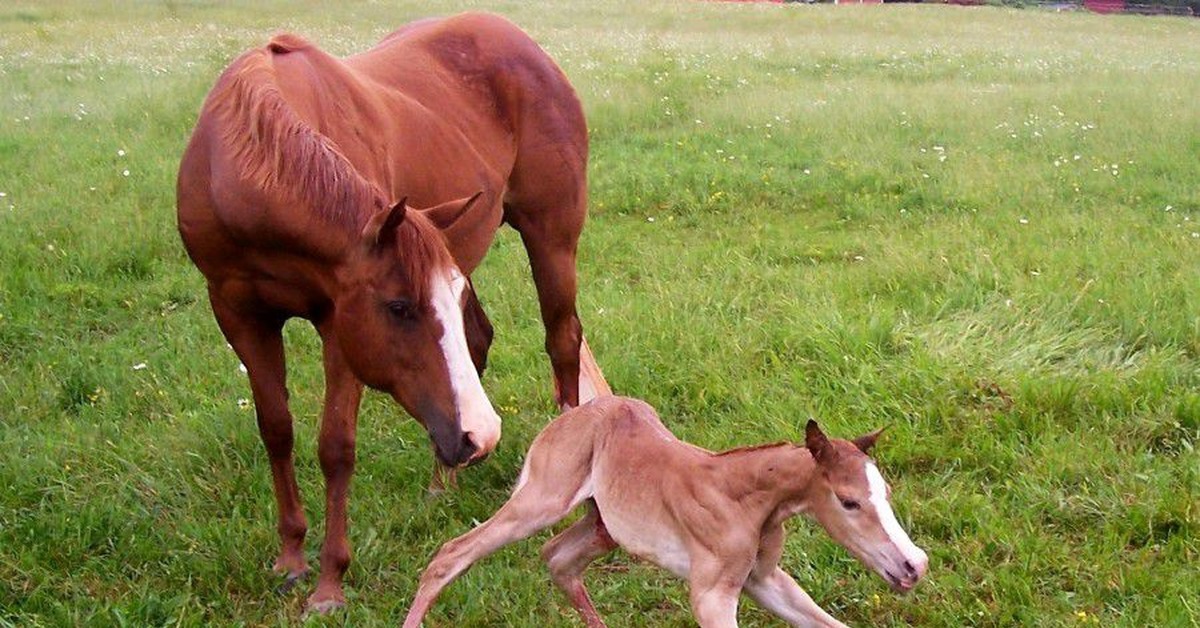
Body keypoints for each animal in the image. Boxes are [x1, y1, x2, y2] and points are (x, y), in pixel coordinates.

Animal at [175, 12, 609, 614]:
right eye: (400, 307)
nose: (480, 436)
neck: (240, 174)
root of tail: (522, 43)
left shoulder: (338, 322)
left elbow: (335, 446)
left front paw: (329, 583)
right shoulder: (238, 312)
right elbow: (276, 428)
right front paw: (290, 557)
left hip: (552, 237)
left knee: (562, 340)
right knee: (479, 342)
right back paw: (442, 483)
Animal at [403, 396, 926, 624]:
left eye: (886, 492)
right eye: (849, 501)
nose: (914, 565)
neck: (751, 499)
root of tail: (570, 415)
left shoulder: (764, 581)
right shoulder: (711, 594)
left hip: (602, 525)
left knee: (557, 557)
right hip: (542, 499)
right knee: (453, 552)